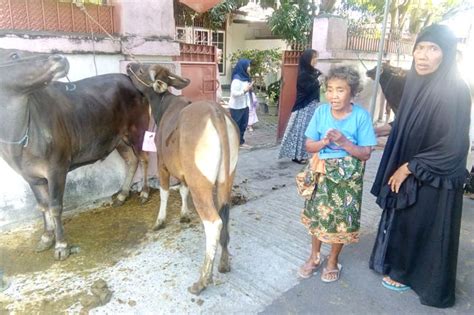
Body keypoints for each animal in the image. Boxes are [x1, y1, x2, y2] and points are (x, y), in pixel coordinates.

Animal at [0, 49, 150, 260]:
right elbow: (42, 206)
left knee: (144, 158)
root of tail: (130, 79)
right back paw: (122, 195)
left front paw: (61, 245)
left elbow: (55, 206)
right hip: (119, 139)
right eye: (14, 55)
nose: (59, 57)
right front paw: (46, 238)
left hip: (138, 131)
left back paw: (144, 192)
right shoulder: (30, 176)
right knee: (131, 160)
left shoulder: (56, 168)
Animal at [127, 63, 241, 296]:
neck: (162, 107)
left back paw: (202, 280)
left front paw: (160, 221)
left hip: (201, 183)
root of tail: (217, 113)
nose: (128, 65)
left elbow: (164, 193)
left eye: (142, 69)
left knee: (213, 222)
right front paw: (184, 215)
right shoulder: (184, 174)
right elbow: (182, 190)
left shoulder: (163, 165)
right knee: (225, 214)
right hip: (226, 178)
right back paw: (224, 263)